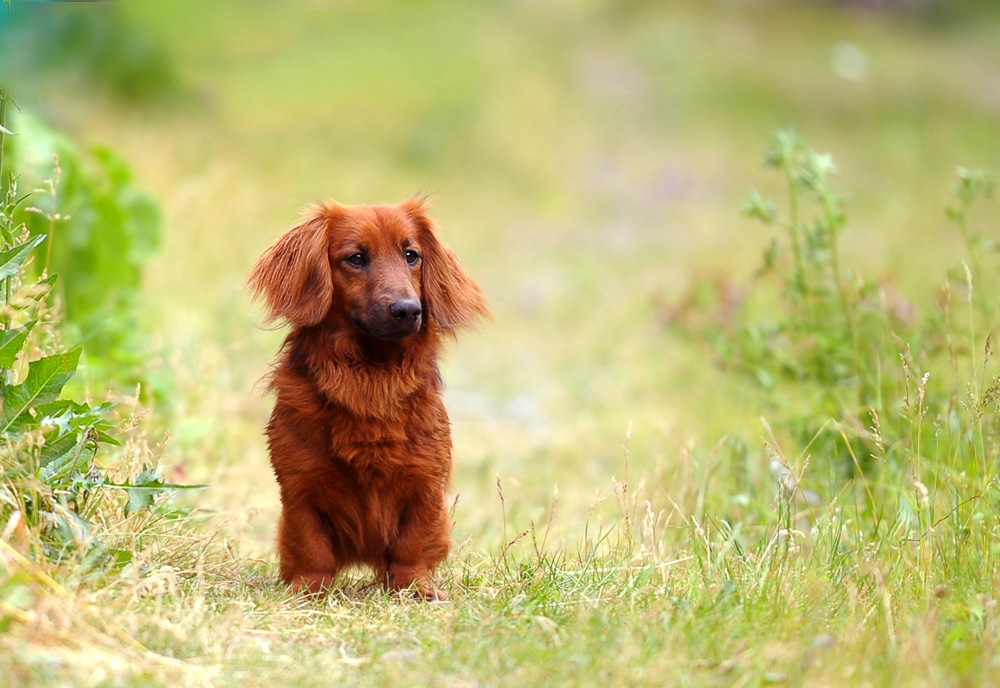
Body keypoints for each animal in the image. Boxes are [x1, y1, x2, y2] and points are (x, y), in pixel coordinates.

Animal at [246, 198, 488, 596]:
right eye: (356, 258)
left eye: (411, 255)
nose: (408, 310)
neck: (371, 376)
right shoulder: (300, 484)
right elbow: (311, 546)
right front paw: (309, 589)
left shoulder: (424, 481)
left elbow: (411, 545)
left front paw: (415, 588)